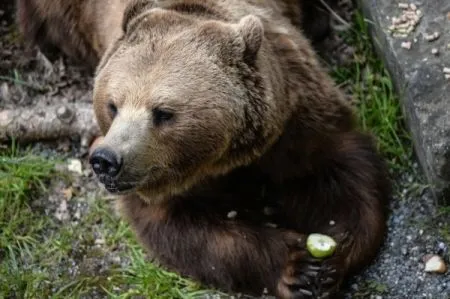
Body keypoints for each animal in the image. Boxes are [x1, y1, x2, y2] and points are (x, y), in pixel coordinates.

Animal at [16, 0, 390, 299]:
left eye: (163, 112)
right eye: (112, 105)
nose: (106, 160)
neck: (220, 160)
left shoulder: (294, 118)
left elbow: (340, 170)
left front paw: (332, 255)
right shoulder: (157, 184)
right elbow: (187, 233)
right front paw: (295, 268)